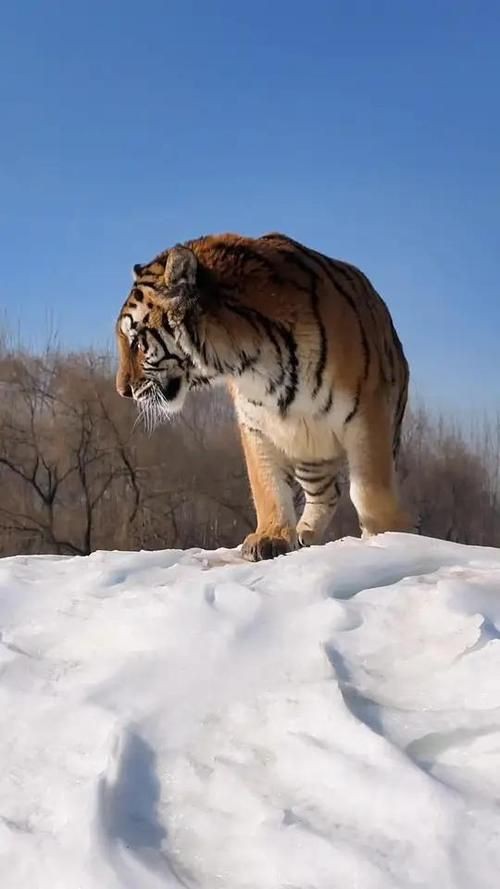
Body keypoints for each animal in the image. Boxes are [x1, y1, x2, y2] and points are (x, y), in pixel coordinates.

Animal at [116, 231, 411, 561]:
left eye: (136, 342)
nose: (122, 390)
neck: (252, 360)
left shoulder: (367, 414)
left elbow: (369, 488)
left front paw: (389, 537)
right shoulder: (256, 423)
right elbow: (267, 486)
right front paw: (272, 536)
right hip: (309, 449)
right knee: (326, 492)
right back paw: (305, 532)